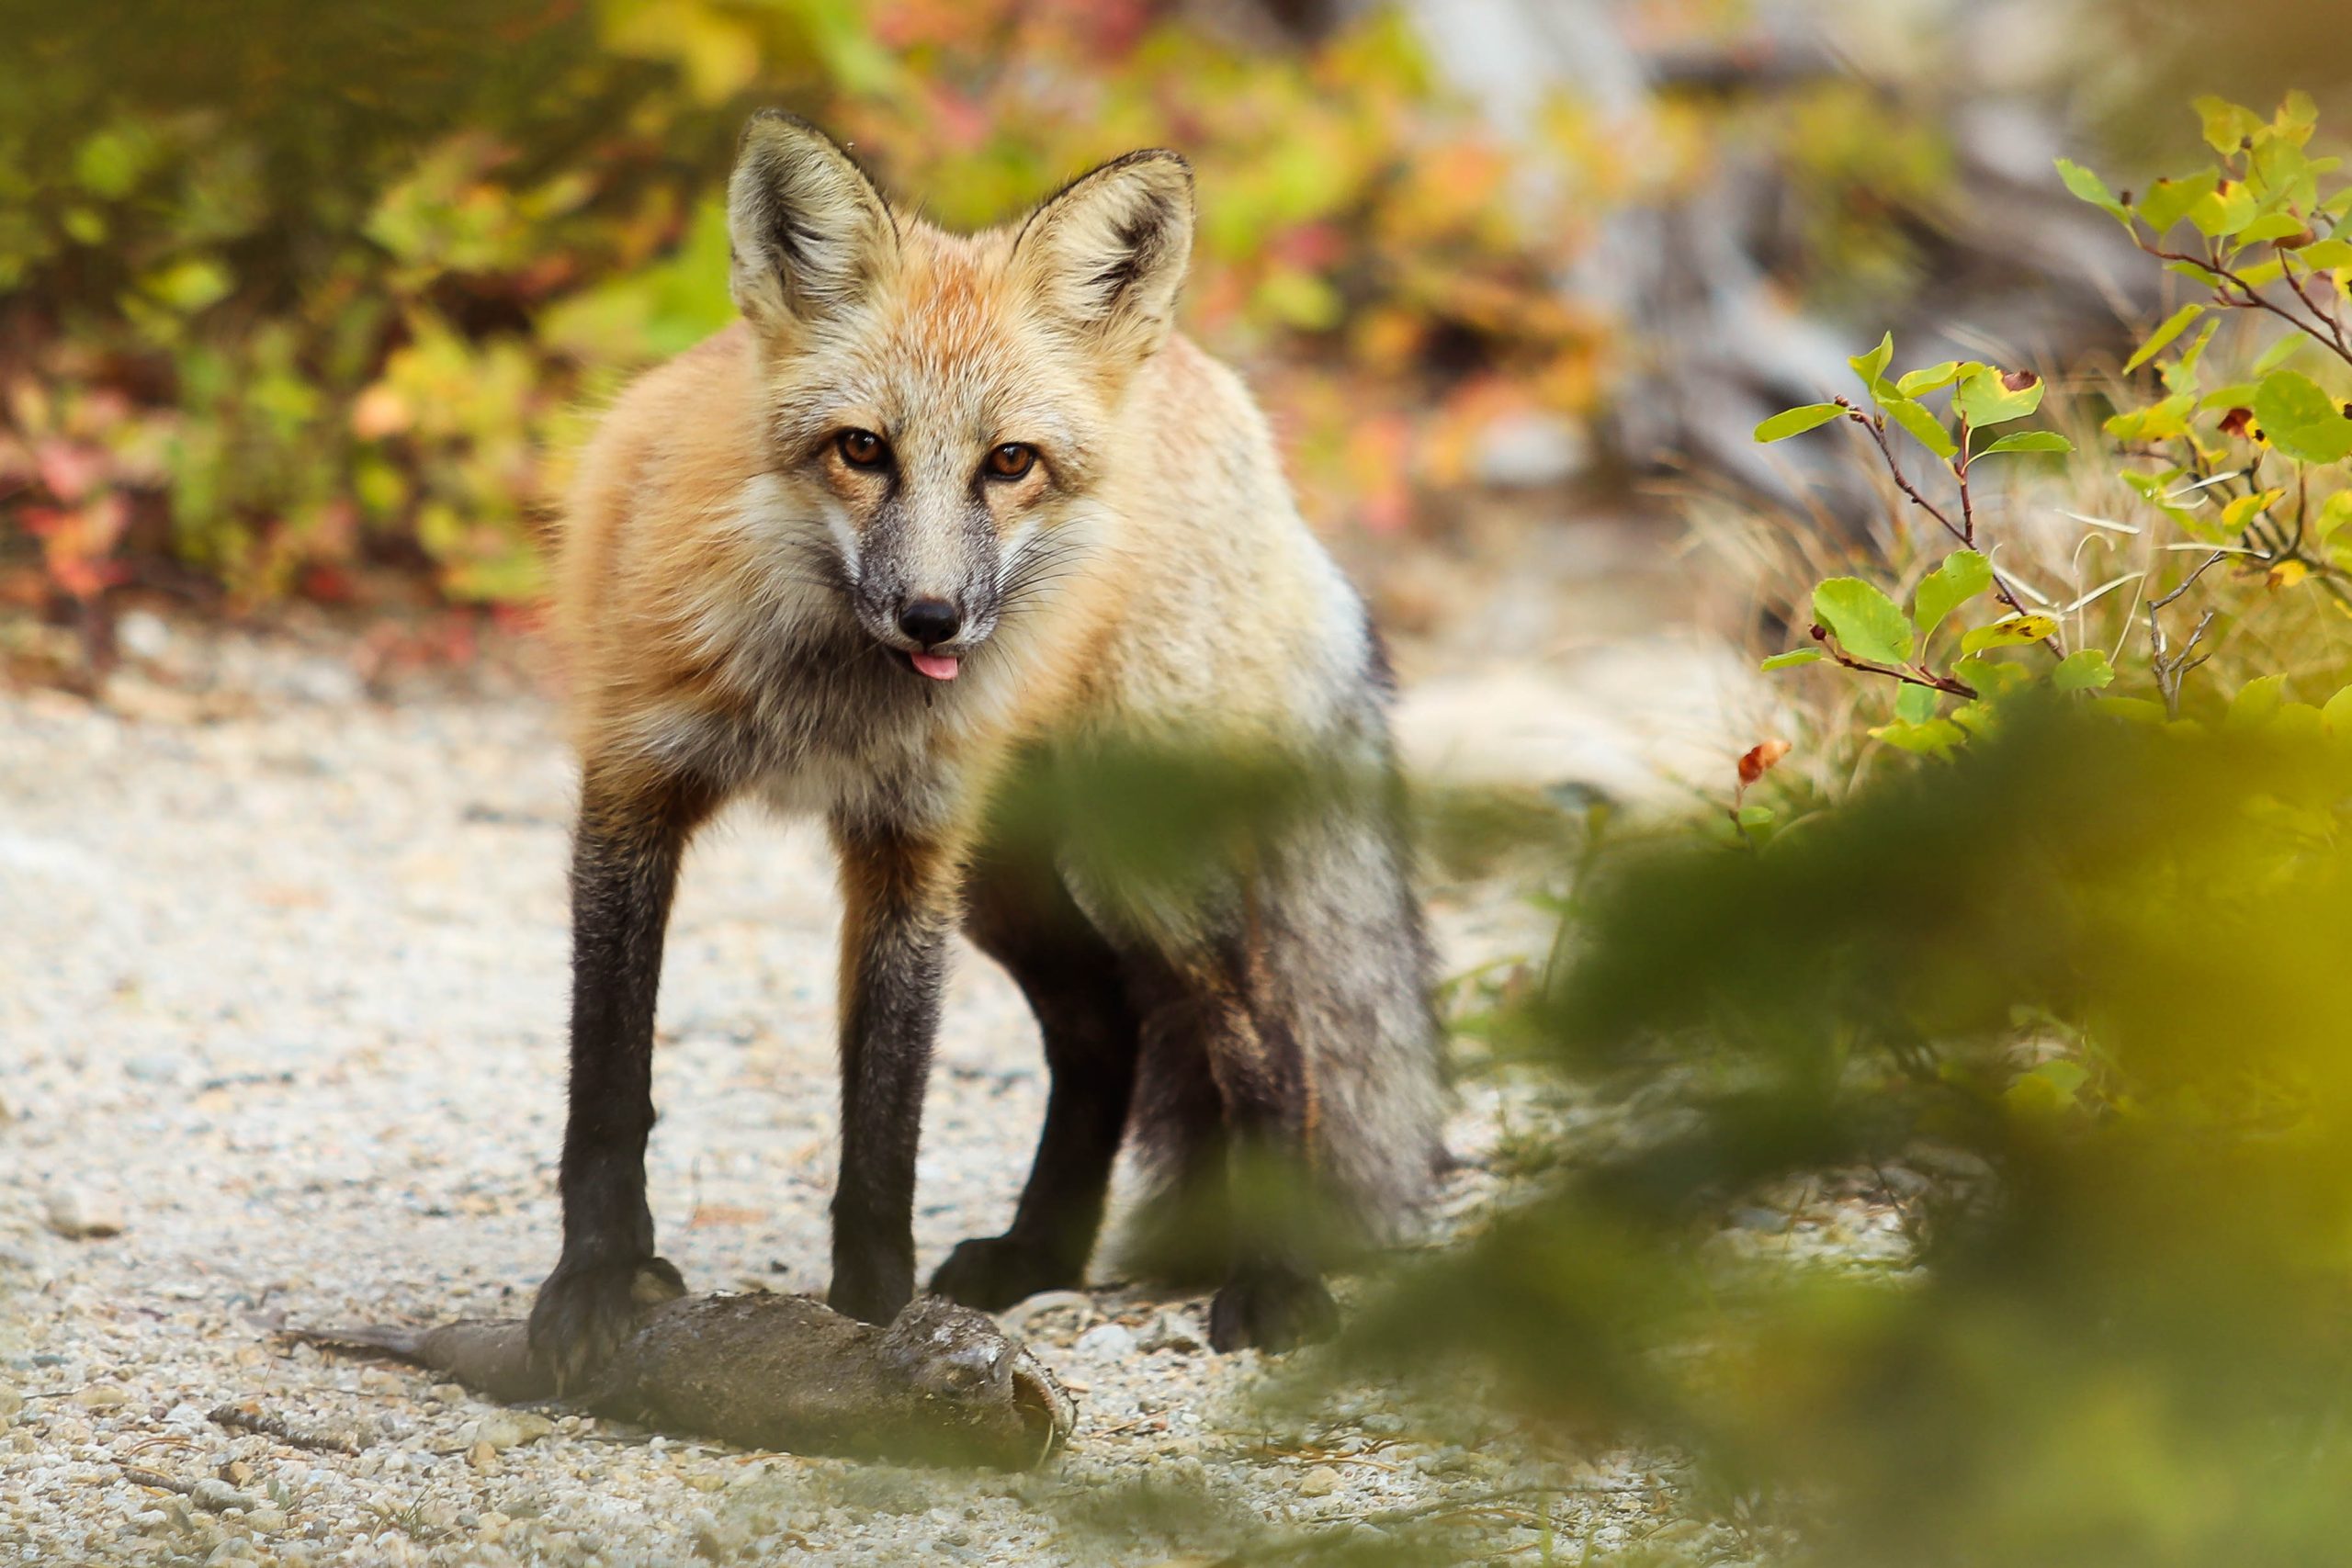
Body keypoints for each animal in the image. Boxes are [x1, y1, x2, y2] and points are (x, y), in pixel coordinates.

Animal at [527, 111, 1441, 1388]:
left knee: (1269, 1039)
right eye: (861, 448)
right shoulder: (634, 793)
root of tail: (1206, 377)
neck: (823, 695)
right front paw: (597, 1284)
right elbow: (610, 1085)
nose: (931, 617)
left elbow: (885, 1119)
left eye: (1008, 462)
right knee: (1103, 1032)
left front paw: (870, 1327)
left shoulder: (908, 844)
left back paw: (1275, 1281)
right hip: (1014, 877)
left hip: (1130, 864)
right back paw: (1036, 1253)